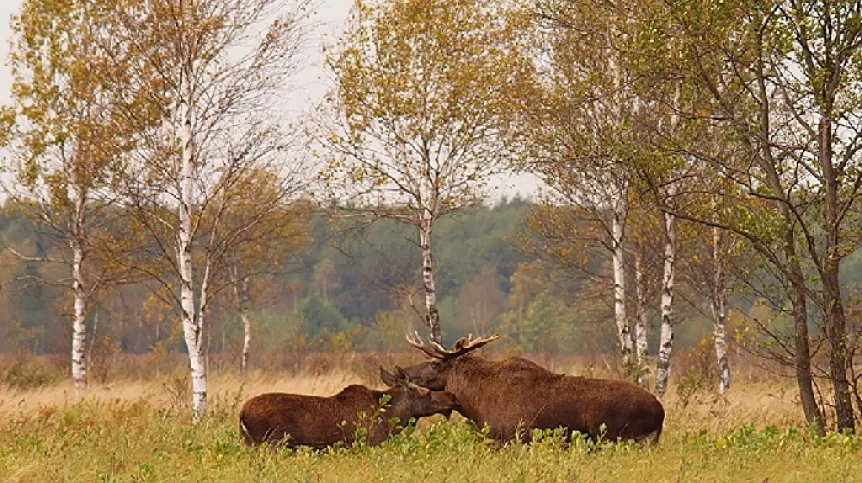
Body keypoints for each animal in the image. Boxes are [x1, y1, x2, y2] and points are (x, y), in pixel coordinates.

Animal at [236, 366, 460, 450]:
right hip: (272, 443)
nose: (451, 397)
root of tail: (242, 413)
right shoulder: (369, 444)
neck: (392, 418)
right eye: (426, 393)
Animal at [402, 334, 664, 444]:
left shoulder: (511, 437)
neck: (475, 403)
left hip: (616, 436)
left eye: (436, 363)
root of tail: (661, 412)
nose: (404, 372)